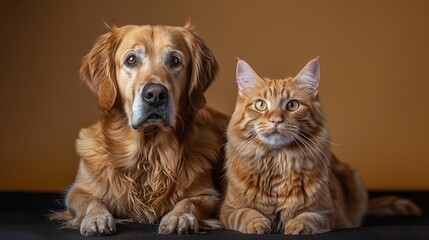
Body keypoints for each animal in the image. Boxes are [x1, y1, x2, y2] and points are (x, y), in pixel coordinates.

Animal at [51, 23, 227, 236]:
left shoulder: (208, 195)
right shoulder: (78, 190)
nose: (156, 94)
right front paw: (97, 217)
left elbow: (188, 202)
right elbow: (92, 200)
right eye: (131, 59)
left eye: (175, 60)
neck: (148, 153)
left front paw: (179, 217)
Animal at [219, 58, 420, 234]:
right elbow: (247, 213)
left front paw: (295, 226)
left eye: (292, 105)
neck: (278, 160)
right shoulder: (228, 210)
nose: (276, 120)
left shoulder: (327, 212)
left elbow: (308, 217)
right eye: (260, 105)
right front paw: (258, 224)